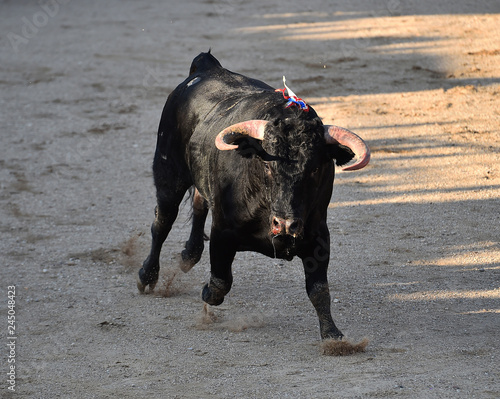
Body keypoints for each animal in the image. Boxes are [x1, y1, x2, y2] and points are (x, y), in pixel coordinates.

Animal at [139, 52, 370, 340]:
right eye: (267, 165)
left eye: (315, 169)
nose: (286, 224)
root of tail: (206, 66)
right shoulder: (223, 232)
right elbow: (220, 283)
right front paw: (206, 292)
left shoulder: (318, 235)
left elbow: (319, 290)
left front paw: (332, 334)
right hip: (168, 173)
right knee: (162, 222)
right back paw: (147, 276)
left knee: (199, 204)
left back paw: (188, 255)